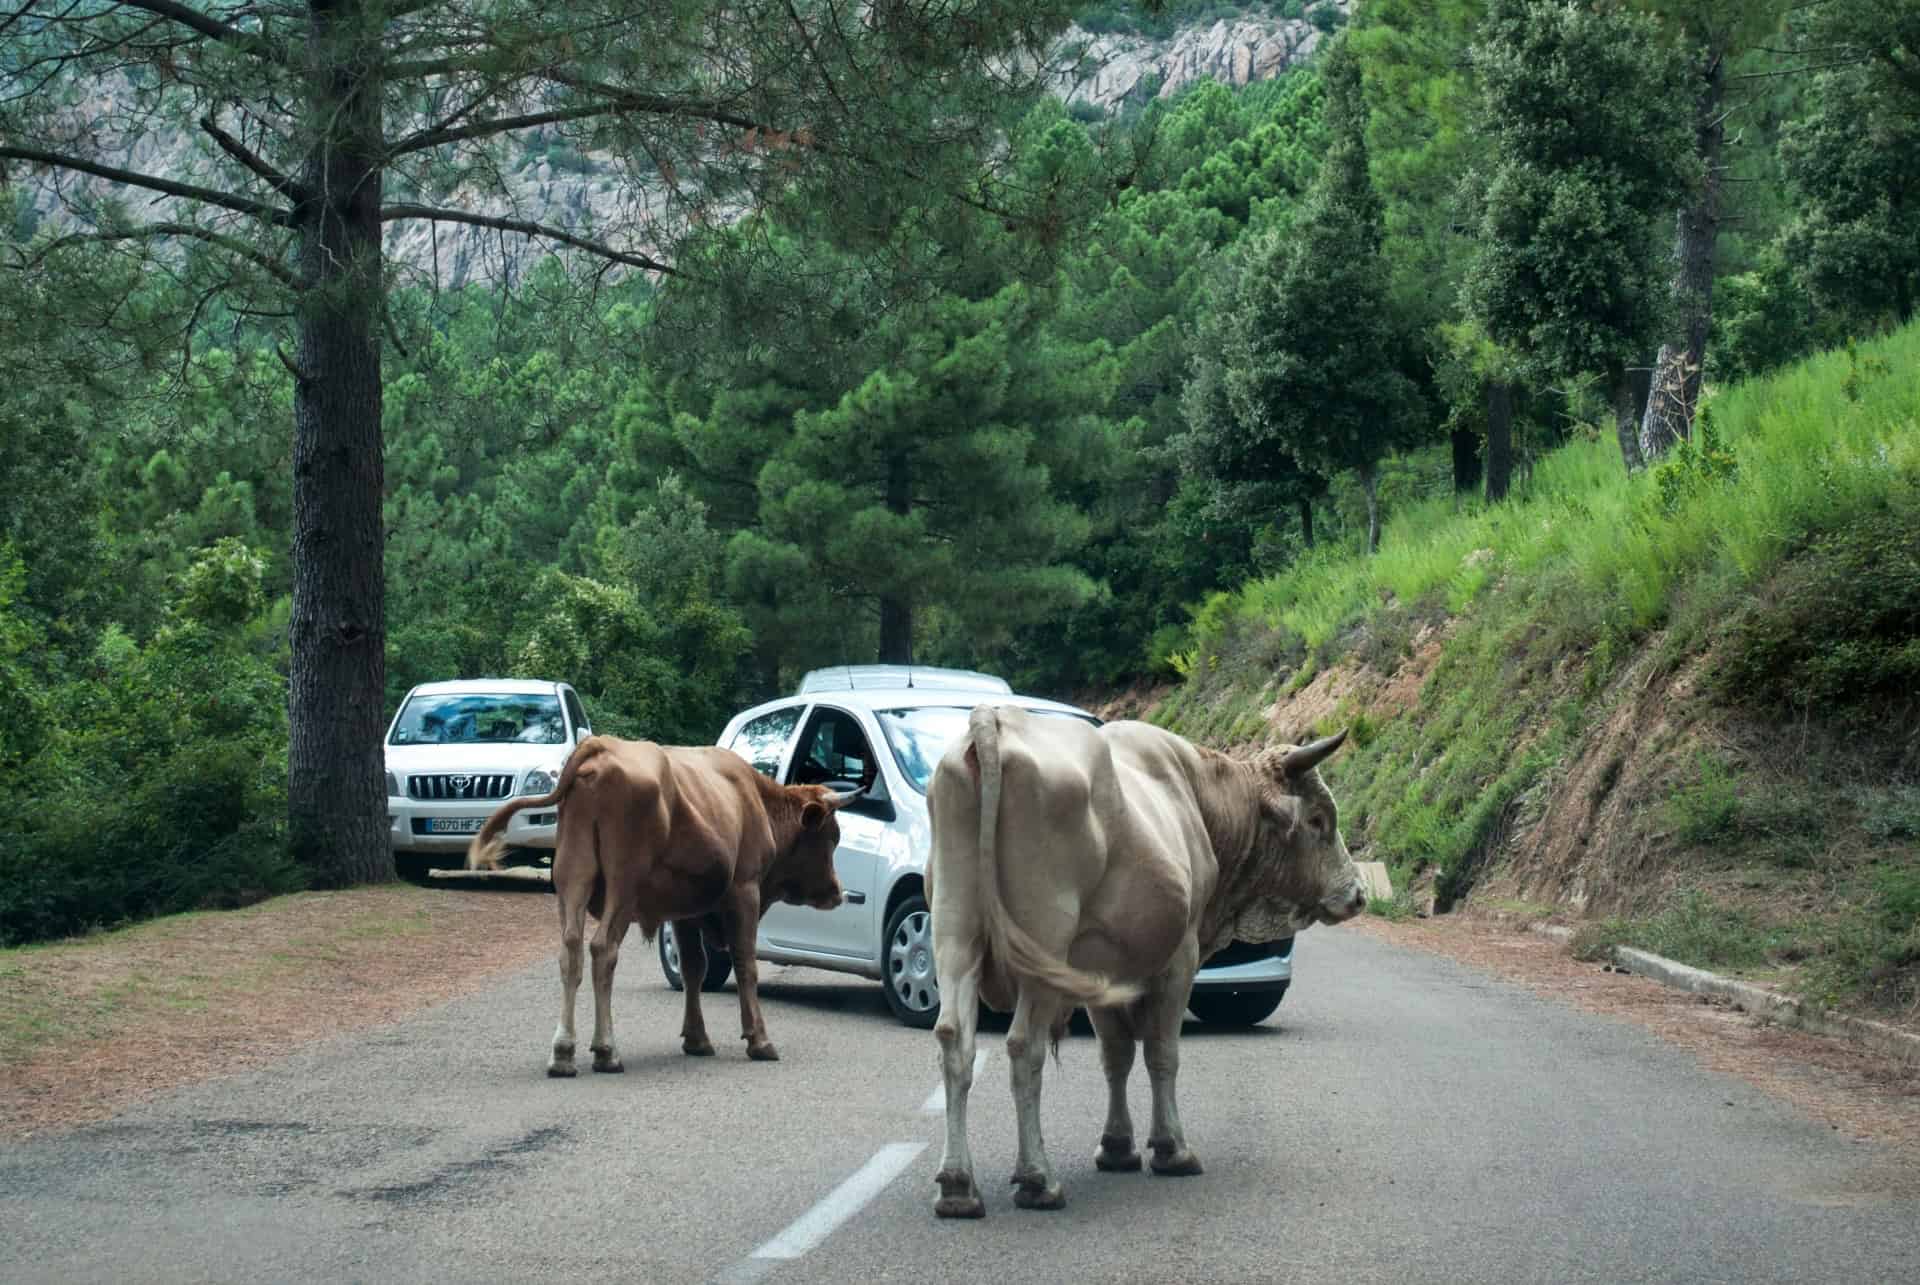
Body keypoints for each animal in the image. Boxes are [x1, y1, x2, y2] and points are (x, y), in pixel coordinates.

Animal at [464, 729, 856, 1075]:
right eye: (832, 837)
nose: (838, 890)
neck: (754, 799)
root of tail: (601, 746)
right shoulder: (744, 891)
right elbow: (746, 964)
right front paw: (758, 1040)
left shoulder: (685, 908)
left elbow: (694, 968)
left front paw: (696, 1038)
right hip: (623, 884)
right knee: (603, 950)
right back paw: (606, 1050)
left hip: (572, 876)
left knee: (571, 951)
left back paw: (563, 1053)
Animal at [925, 706, 1367, 1221]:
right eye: (1319, 820)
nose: (1358, 893)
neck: (1202, 801)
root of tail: (996, 719)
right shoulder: (1180, 959)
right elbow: (1162, 1053)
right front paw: (1171, 1148)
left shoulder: (1101, 964)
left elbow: (1116, 1055)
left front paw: (1118, 1146)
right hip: (1041, 948)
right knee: (1023, 1048)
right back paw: (1037, 1178)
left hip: (955, 936)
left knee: (955, 1042)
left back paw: (958, 1184)